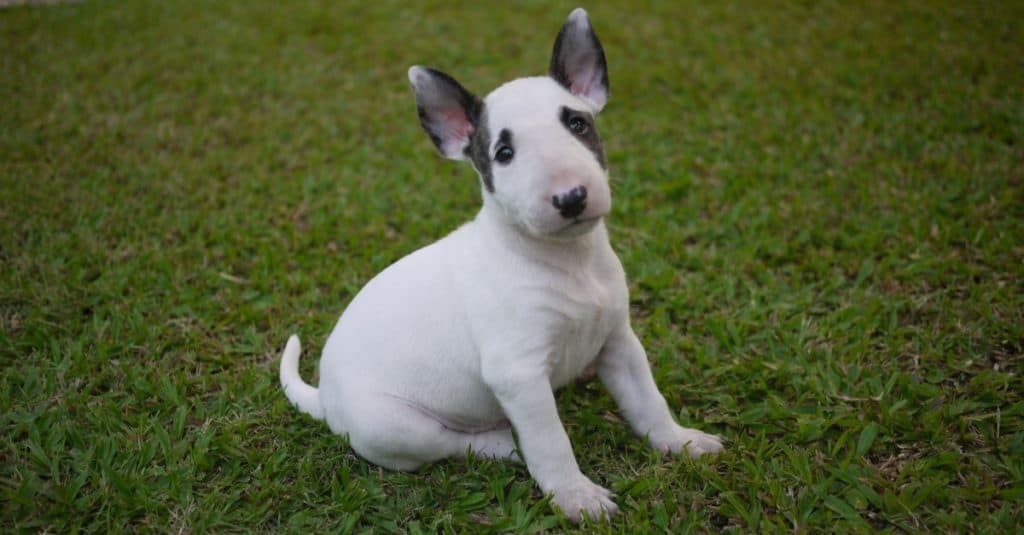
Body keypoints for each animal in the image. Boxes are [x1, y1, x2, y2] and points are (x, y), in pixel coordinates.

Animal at [280, 6, 724, 518]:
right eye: (503, 153)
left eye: (577, 124)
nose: (571, 198)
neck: (566, 261)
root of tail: (324, 398)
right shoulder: (519, 375)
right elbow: (551, 442)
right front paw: (576, 497)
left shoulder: (619, 341)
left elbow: (648, 400)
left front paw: (681, 442)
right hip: (393, 425)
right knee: (452, 443)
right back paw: (503, 445)